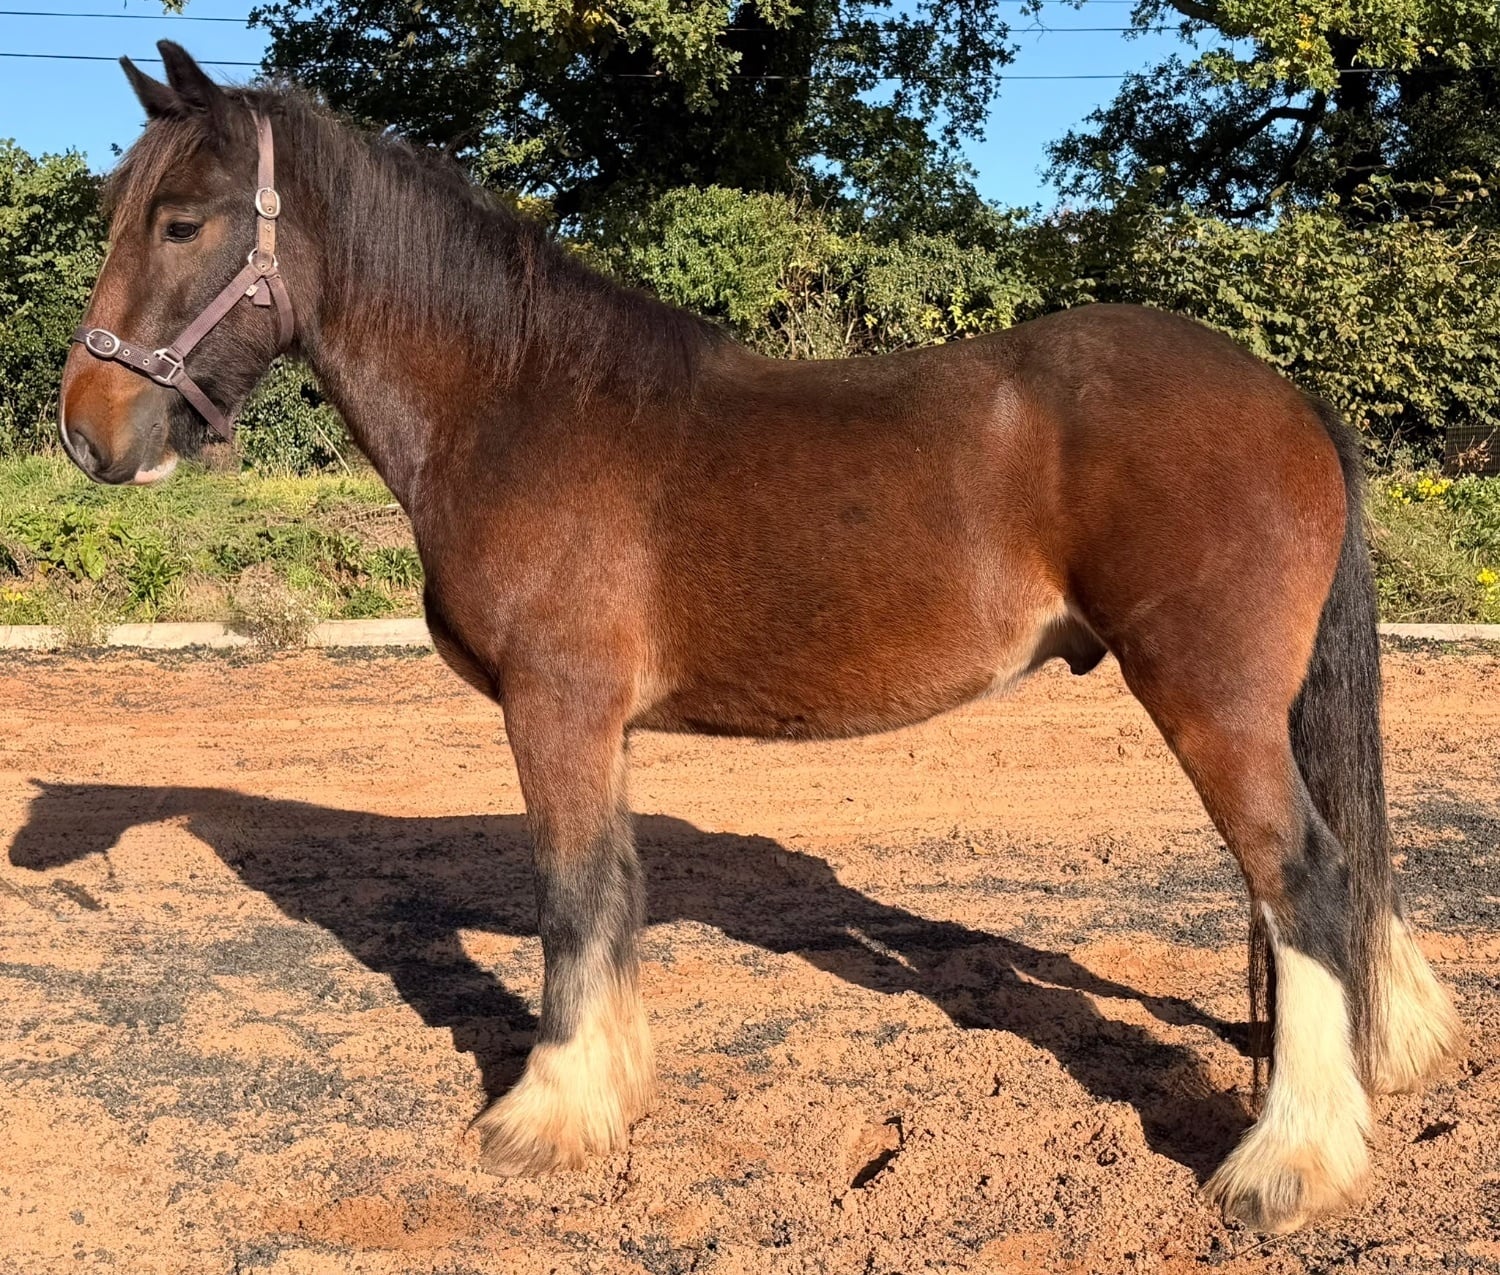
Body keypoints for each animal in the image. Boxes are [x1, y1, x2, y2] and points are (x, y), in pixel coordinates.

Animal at [56, 42, 1460, 1235]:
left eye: (183, 221)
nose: (86, 430)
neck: (518, 401)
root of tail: (1287, 399)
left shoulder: (554, 707)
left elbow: (569, 897)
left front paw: (544, 1120)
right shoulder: (597, 726)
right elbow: (612, 894)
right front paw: (609, 1094)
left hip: (1210, 702)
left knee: (1305, 880)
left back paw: (1288, 1163)